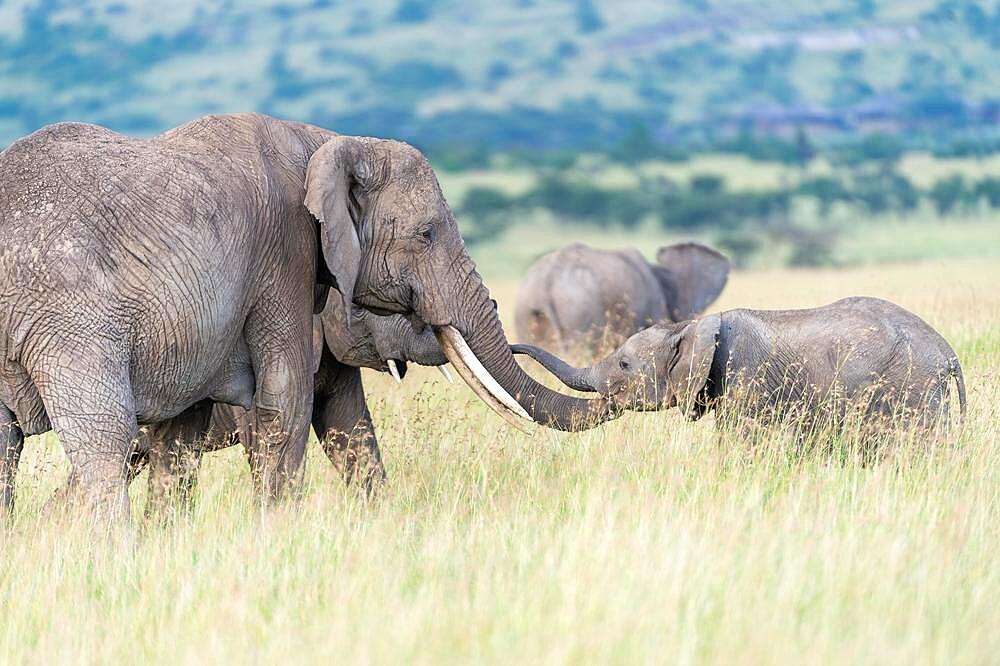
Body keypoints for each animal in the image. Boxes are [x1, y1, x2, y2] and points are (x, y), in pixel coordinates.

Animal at [0, 113, 608, 520]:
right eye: (427, 233)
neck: (330, 144)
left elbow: (343, 431)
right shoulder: (284, 256)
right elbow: (283, 404)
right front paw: (276, 537)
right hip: (69, 315)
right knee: (105, 438)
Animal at [512, 296, 964, 436]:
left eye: (624, 363)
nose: (514, 348)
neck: (691, 327)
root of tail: (948, 355)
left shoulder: (745, 379)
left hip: (910, 390)